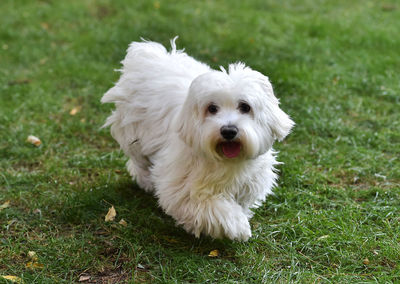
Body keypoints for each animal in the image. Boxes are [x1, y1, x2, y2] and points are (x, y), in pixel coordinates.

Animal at [101, 37, 292, 241]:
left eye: (245, 107)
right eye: (212, 108)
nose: (228, 131)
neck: (227, 162)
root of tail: (148, 53)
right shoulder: (183, 186)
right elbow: (209, 207)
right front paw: (237, 225)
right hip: (135, 135)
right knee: (139, 161)